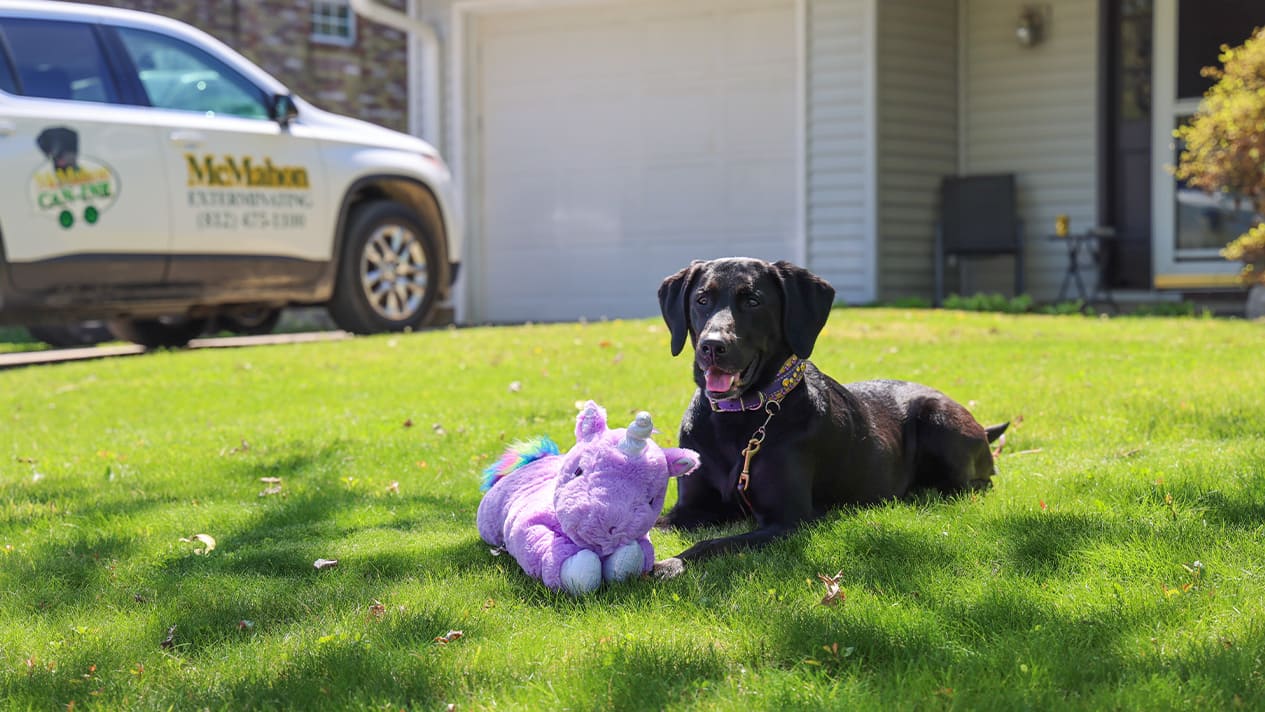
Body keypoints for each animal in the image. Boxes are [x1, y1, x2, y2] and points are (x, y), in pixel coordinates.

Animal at [657, 259, 1001, 576]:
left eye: (753, 301)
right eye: (702, 300)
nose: (712, 346)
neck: (740, 418)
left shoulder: (787, 521)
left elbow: (710, 544)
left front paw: (668, 565)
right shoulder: (690, 507)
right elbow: (656, 521)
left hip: (939, 422)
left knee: (979, 482)